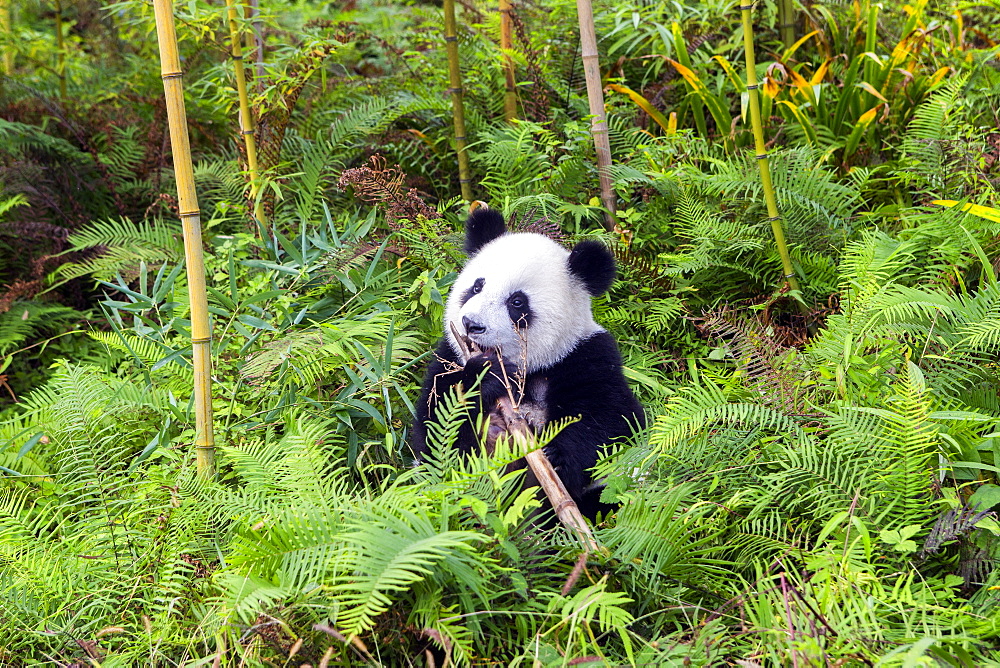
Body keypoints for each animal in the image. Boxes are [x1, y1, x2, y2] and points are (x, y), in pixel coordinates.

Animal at [410, 209, 644, 520]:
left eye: (517, 302)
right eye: (477, 286)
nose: (472, 324)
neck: (527, 371)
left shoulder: (586, 357)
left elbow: (612, 420)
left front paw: (556, 459)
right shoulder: (449, 358)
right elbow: (438, 439)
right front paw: (486, 376)